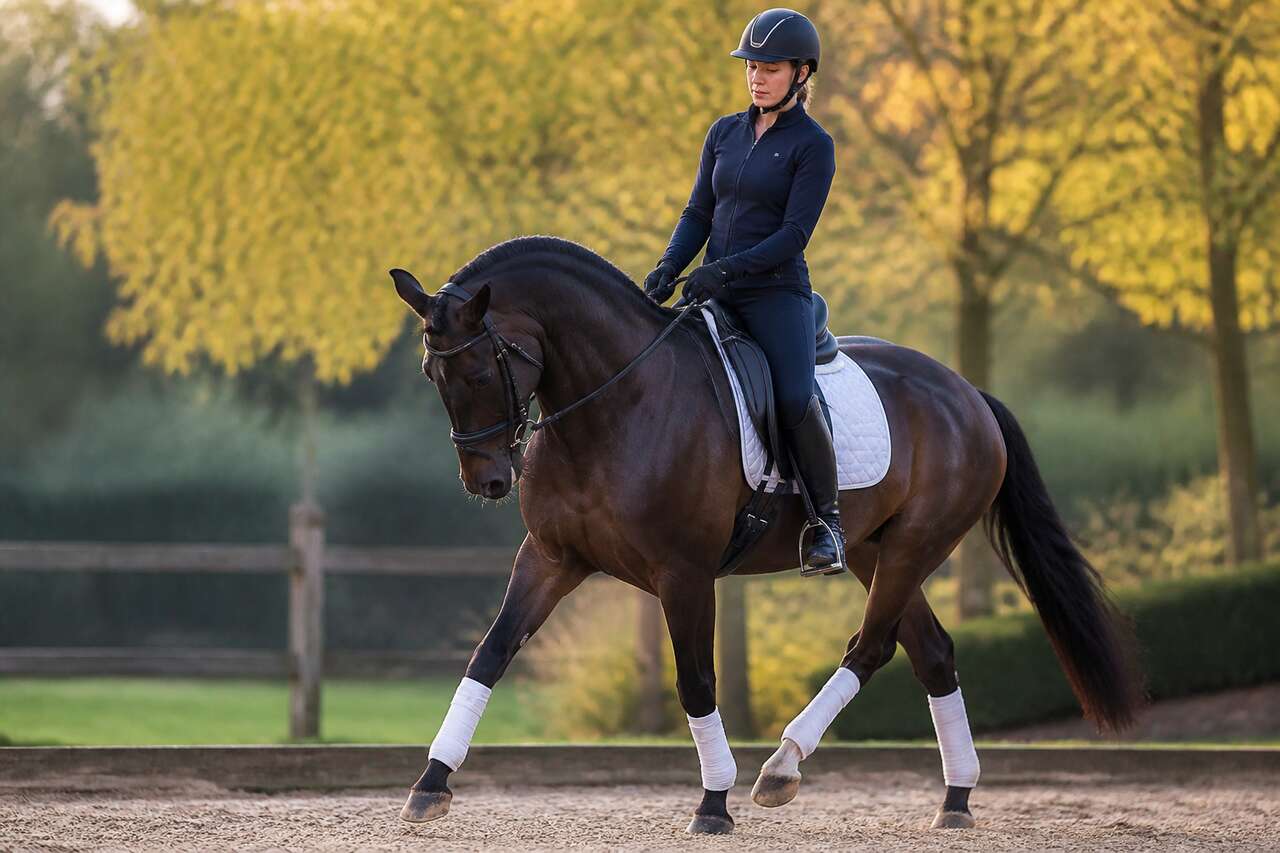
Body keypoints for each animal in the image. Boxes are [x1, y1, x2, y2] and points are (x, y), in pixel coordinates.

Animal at [390, 235, 1141, 835]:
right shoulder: (551, 558)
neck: (614, 402)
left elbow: (696, 683)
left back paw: (782, 767)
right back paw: (954, 798)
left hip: (913, 546)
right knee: (932, 653)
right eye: (431, 372)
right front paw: (430, 783)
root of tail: (968, 393)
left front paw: (713, 804)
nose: (487, 480)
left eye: (479, 370)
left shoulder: (684, 572)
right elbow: (490, 654)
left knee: (871, 647)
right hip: (874, 550)